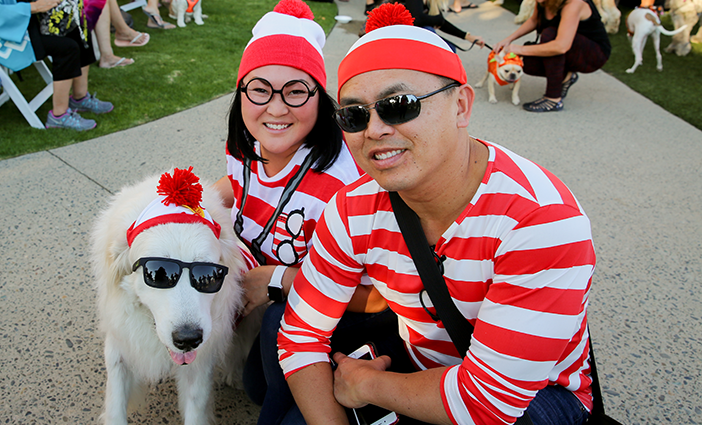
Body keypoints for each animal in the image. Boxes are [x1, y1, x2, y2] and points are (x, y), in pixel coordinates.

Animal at [91, 167, 262, 422]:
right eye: (156, 274)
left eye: (209, 275)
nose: (188, 339)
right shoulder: (119, 343)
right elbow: (115, 406)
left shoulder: (199, 364)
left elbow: (195, 410)